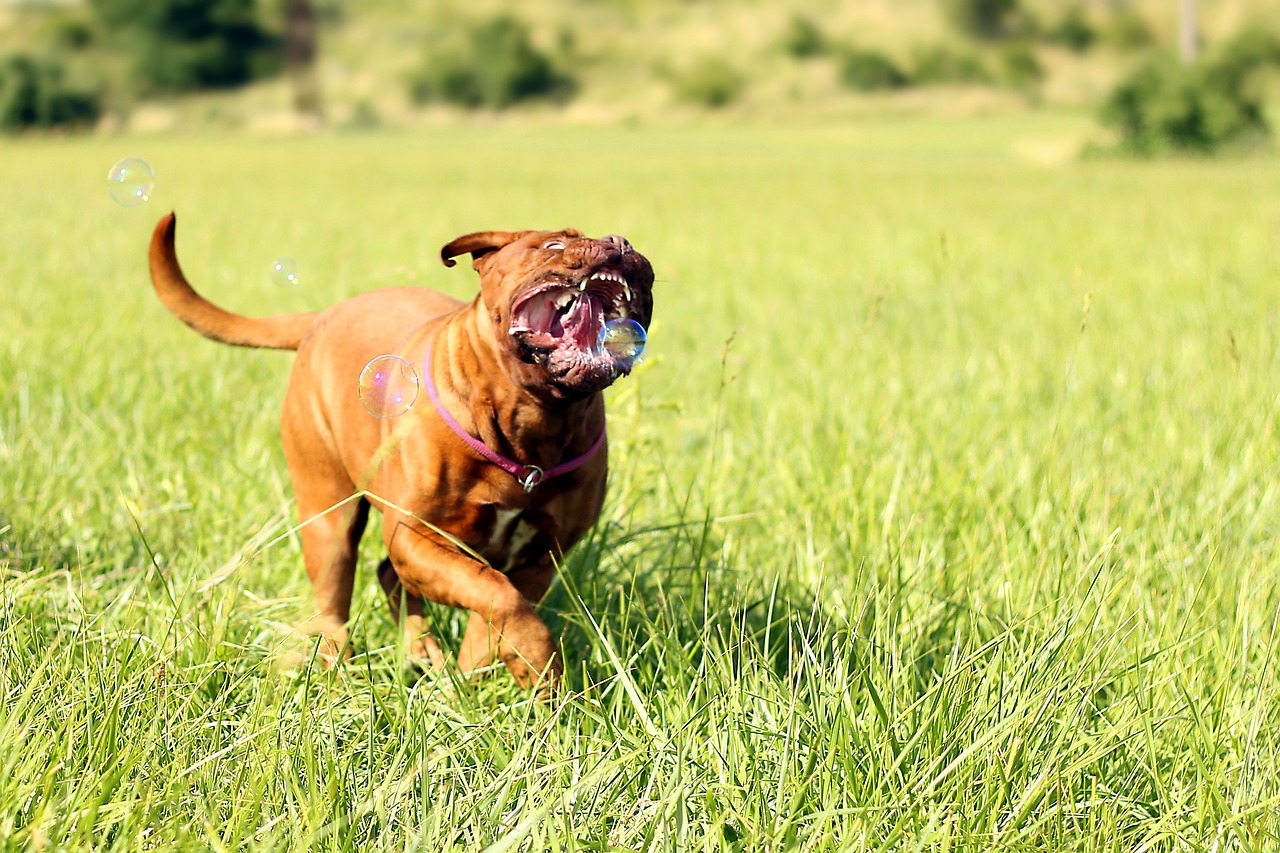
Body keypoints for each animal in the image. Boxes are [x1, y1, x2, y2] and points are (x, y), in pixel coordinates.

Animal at [145, 213, 655, 691]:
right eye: (552, 246)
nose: (621, 242)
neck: (535, 419)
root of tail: (324, 316)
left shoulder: (541, 557)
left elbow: (495, 609)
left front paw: (480, 675)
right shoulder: (416, 537)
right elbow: (495, 593)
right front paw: (535, 658)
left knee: (390, 577)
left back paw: (424, 654)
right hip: (330, 518)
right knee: (335, 601)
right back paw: (344, 673)